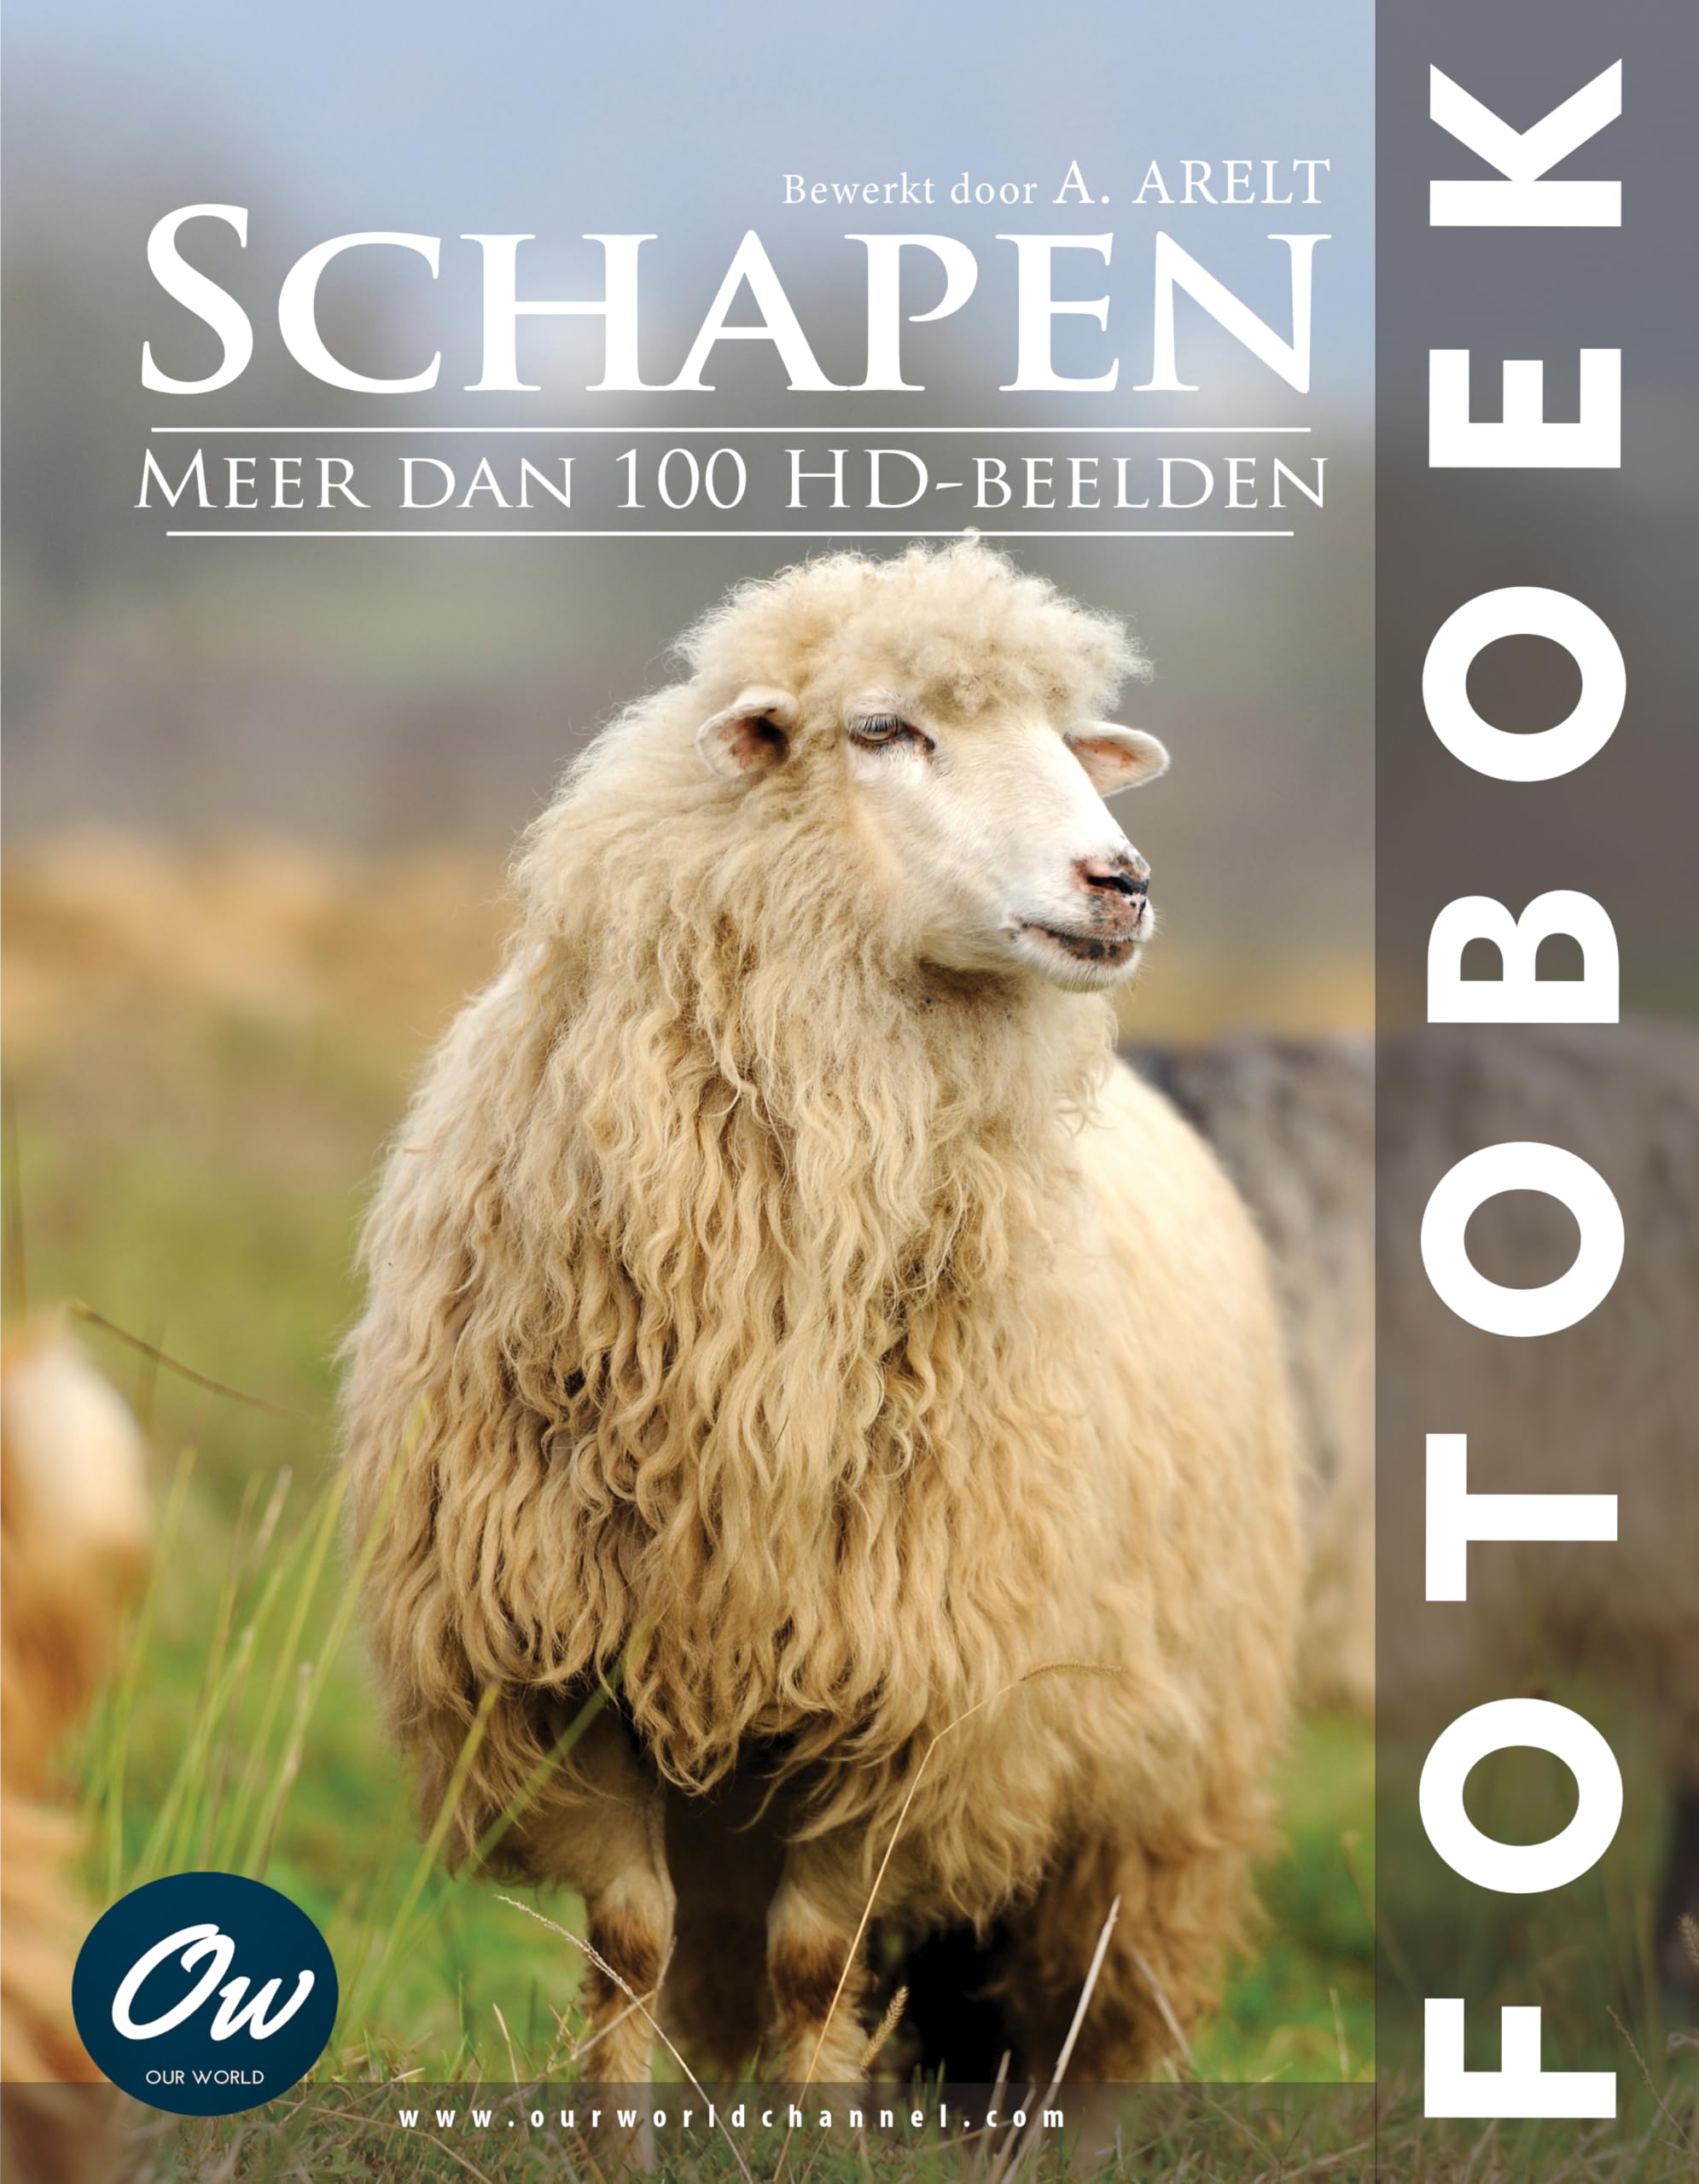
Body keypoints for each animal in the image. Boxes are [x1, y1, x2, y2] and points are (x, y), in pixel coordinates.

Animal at [341, 540, 1302, 2091]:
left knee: (1095, 2008)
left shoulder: (916, 1697)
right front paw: (615, 2127)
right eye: (883, 729)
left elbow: (814, 1964)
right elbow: (629, 1949)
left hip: (1156, 1782)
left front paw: (812, 2123)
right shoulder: (558, 1666)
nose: (1120, 881)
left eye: (1066, 738)